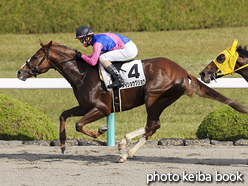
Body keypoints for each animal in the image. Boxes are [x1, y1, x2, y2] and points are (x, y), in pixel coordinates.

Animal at [17, 40, 248, 162]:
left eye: (36, 56)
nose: (20, 72)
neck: (82, 74)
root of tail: (183, 71)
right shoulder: (84, 106)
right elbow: (64, 115)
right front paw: (63, 145)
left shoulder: (101, 108)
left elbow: (80, 124)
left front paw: (101, 131)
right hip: (158, 100)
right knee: (152, 126)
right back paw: (125, 147)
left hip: (153, 97)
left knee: (152, 124)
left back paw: (124, 148)